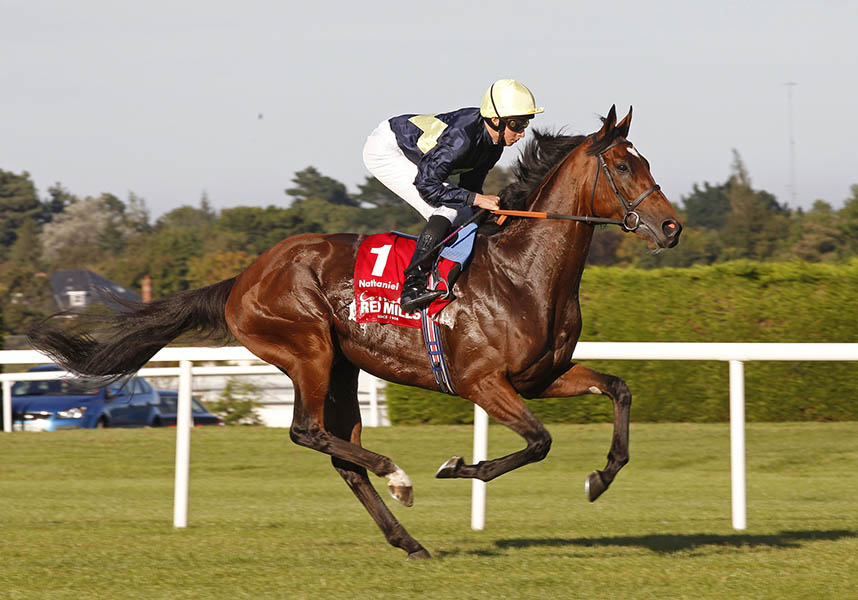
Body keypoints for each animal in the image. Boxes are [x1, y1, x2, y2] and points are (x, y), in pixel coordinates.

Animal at [28, 105, 684, 560]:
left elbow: (619, 390)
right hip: (309, 350)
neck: (523, 272)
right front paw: (457, 468)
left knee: (340, 455)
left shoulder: (543, 375)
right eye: (623, 165)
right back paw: (400, 478)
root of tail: (244, 278)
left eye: (648, 162)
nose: (671, 227)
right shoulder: (482, 381)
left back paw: (408, 540)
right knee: (307, 432)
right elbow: (539, 442)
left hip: (344, 366)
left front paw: (600, 477)